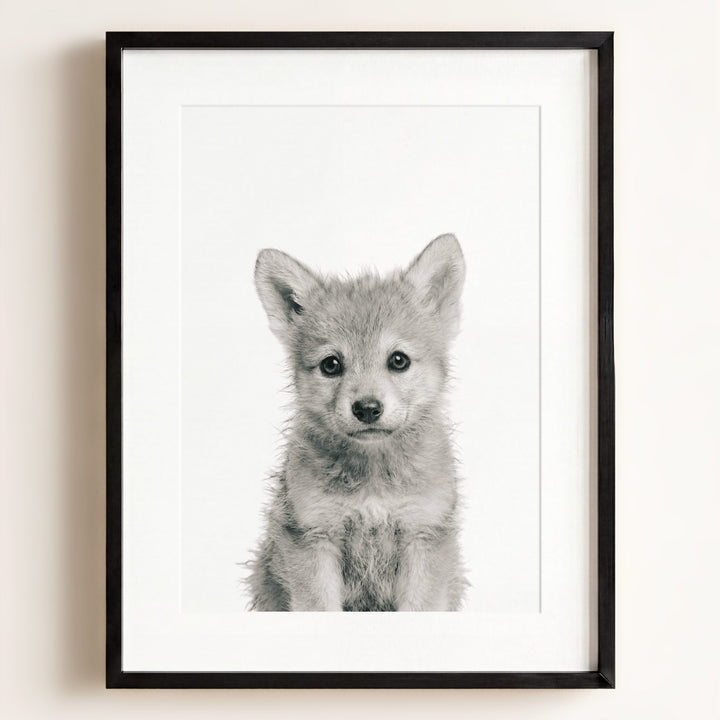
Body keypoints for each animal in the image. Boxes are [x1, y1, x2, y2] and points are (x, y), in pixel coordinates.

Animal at [246, 234, 467, 611]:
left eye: (398, 360)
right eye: (331, 365)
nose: (366, 408)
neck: (373, 479)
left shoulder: (423, 534)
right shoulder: (313, 537)